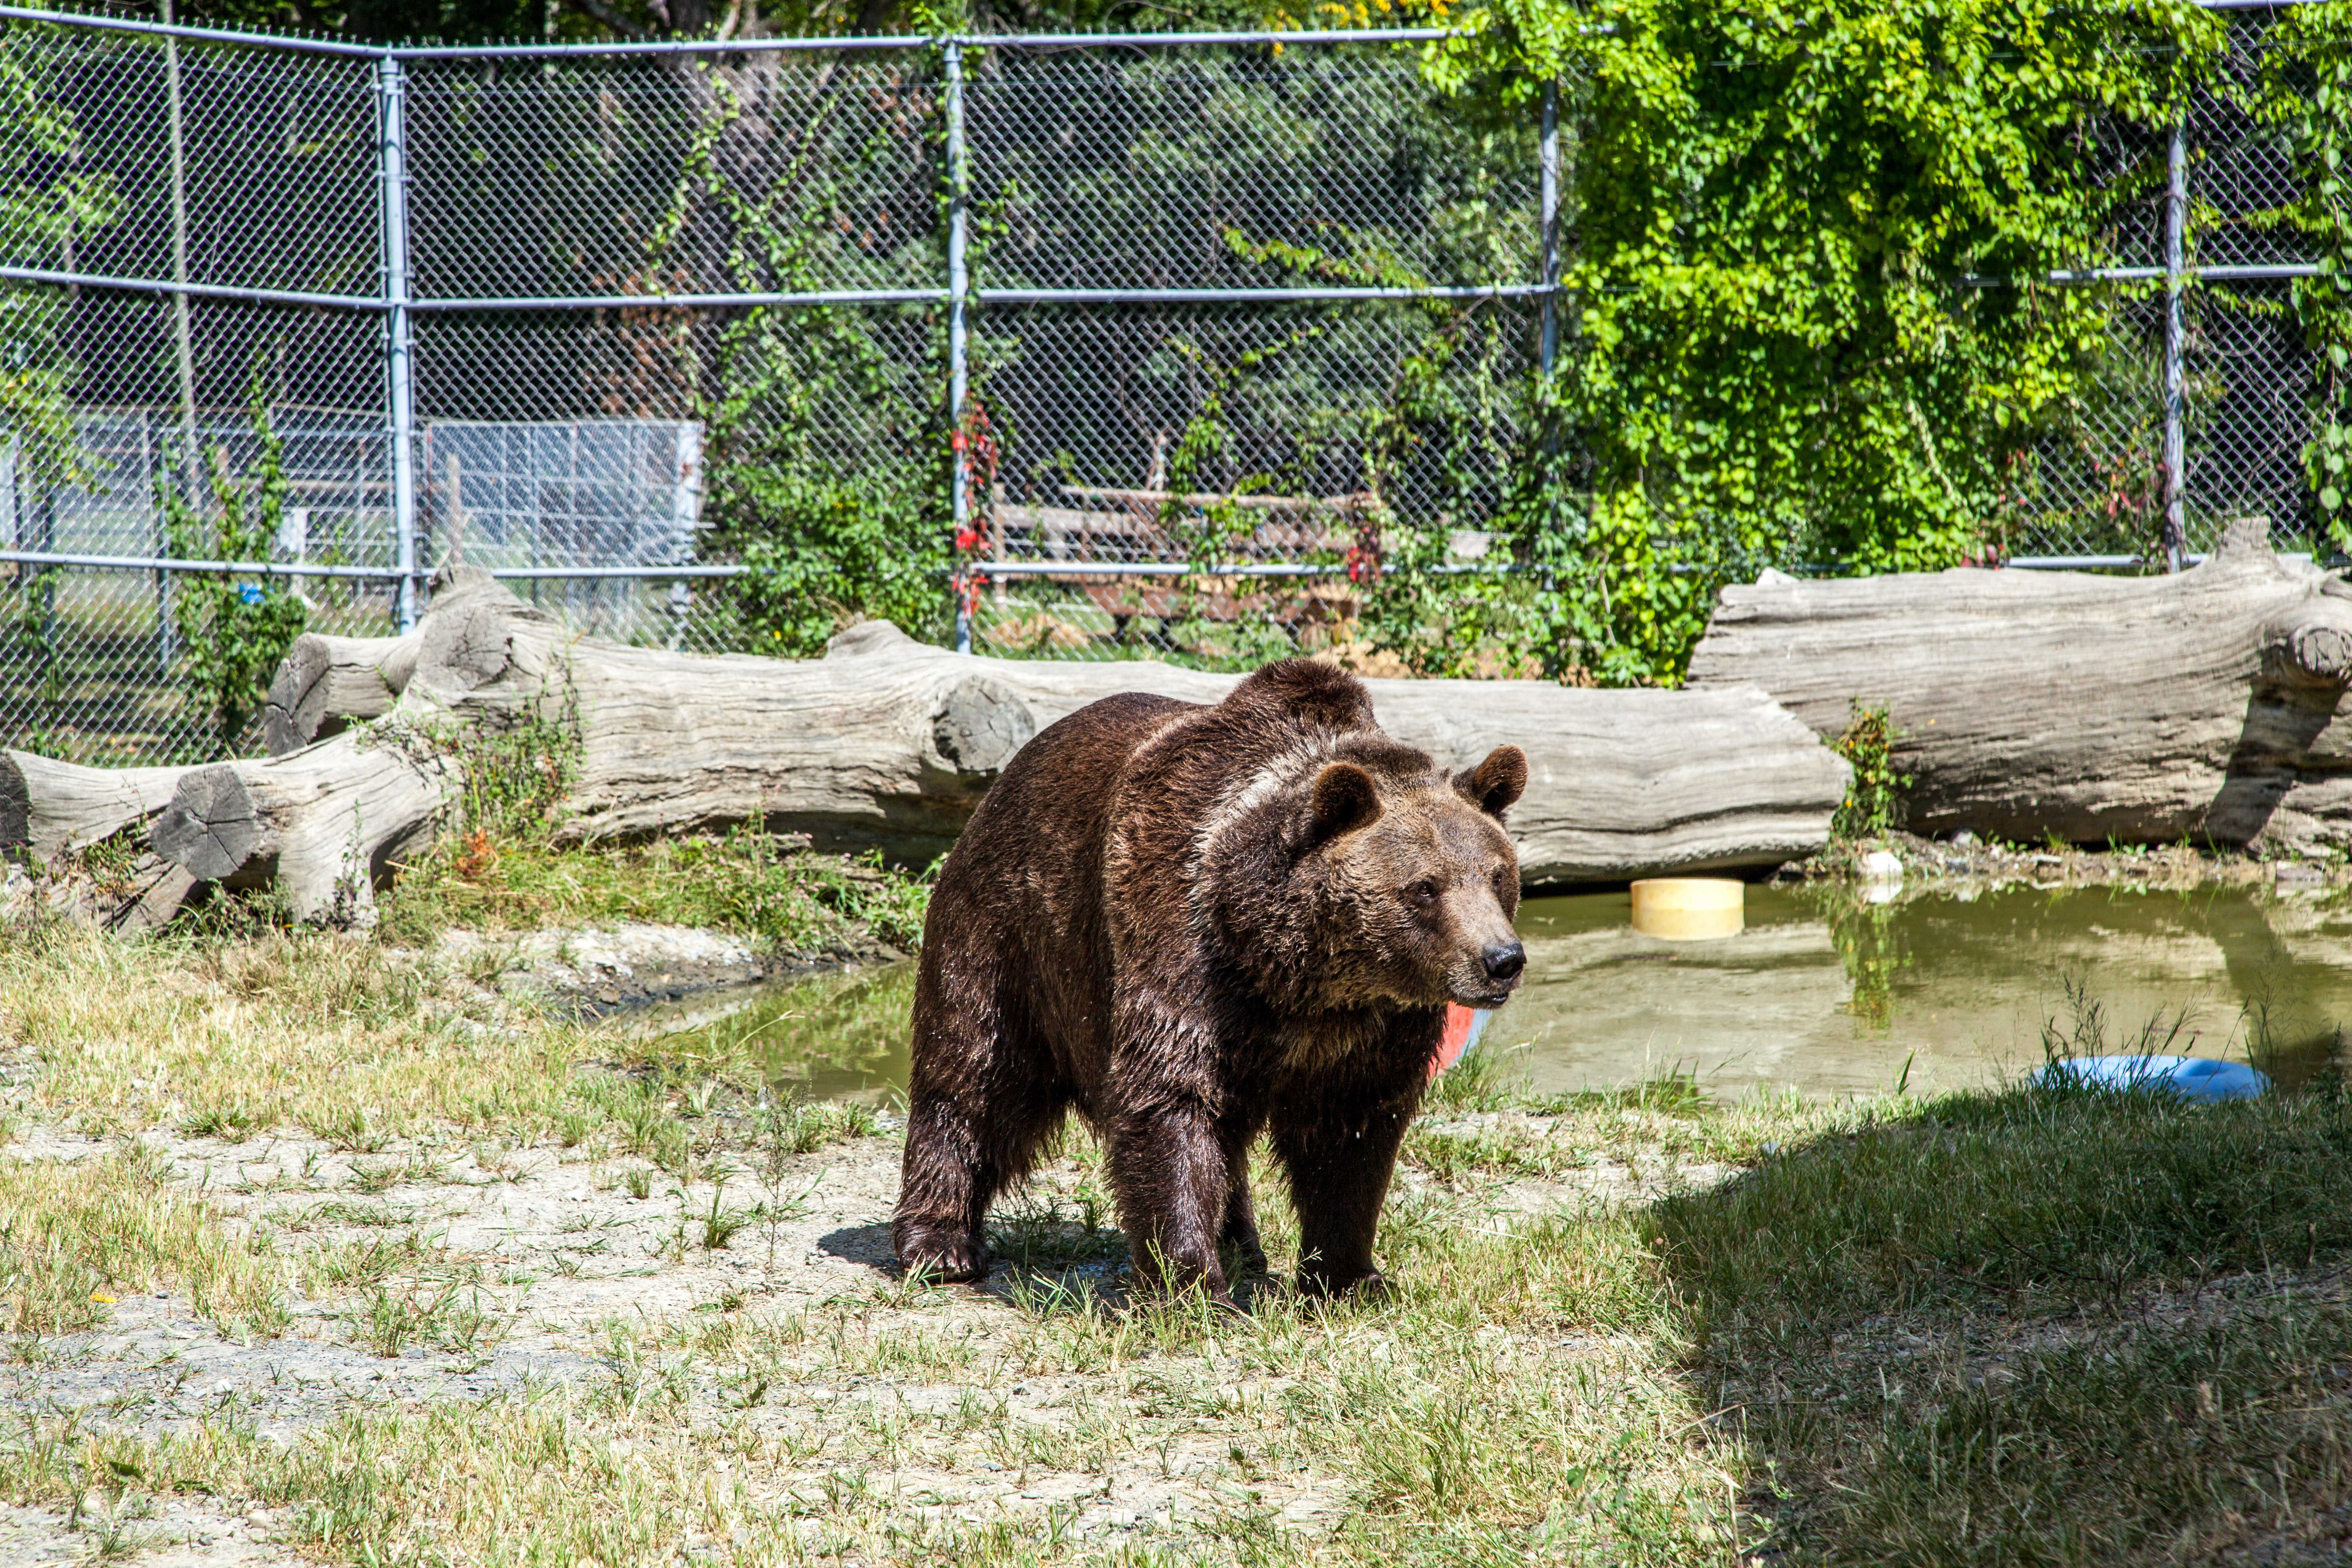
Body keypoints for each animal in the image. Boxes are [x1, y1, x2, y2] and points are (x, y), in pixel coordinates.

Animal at [892, 658, 1528, 1305]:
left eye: (1498, 875)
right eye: (1424, 887)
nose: (1502, 959)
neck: (1294, 976)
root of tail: (1003, 782)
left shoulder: (1373, 1028)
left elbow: (1351, 1137)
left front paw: (1352, 1276)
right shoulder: (1186, 954)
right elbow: (1173, 1101)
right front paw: (1195, 1286)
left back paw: (1241, 1240)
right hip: (1010, 933)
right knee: (974, 1070)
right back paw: (940, 1241)